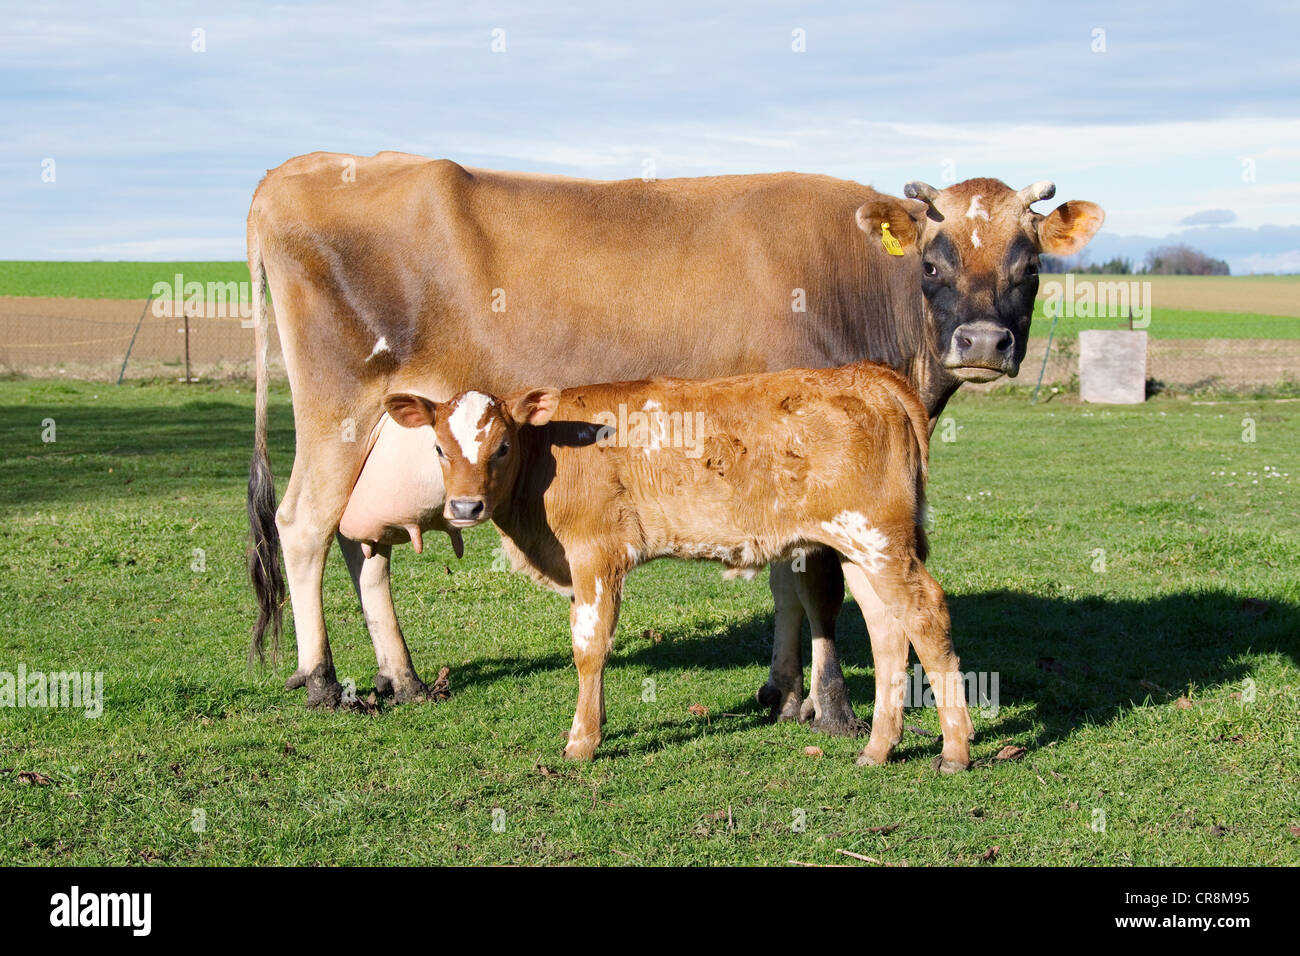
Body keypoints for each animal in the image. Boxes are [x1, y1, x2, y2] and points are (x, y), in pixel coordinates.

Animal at [245, 152, 1103, 729]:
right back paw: (320, 680)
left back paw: (403, 678)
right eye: (931, 261)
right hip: (337, 409)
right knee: (304, 525)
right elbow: (819, 585)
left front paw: (781, 691)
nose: (982, 342)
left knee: (362, 544)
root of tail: (297, 170)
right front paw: (830, 708)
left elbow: (784, 579)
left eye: (1030, 266)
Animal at [378, 360, 975, 771]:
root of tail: (867, 375)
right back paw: (878, 747)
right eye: (438, 448)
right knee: (886, 629)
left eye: (501, 446)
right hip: (859, 546)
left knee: (926, 614)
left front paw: (582, 741)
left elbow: (589, 647)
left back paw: (955, 751)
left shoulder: (596, 553)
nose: (464, 508)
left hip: (880, 537)